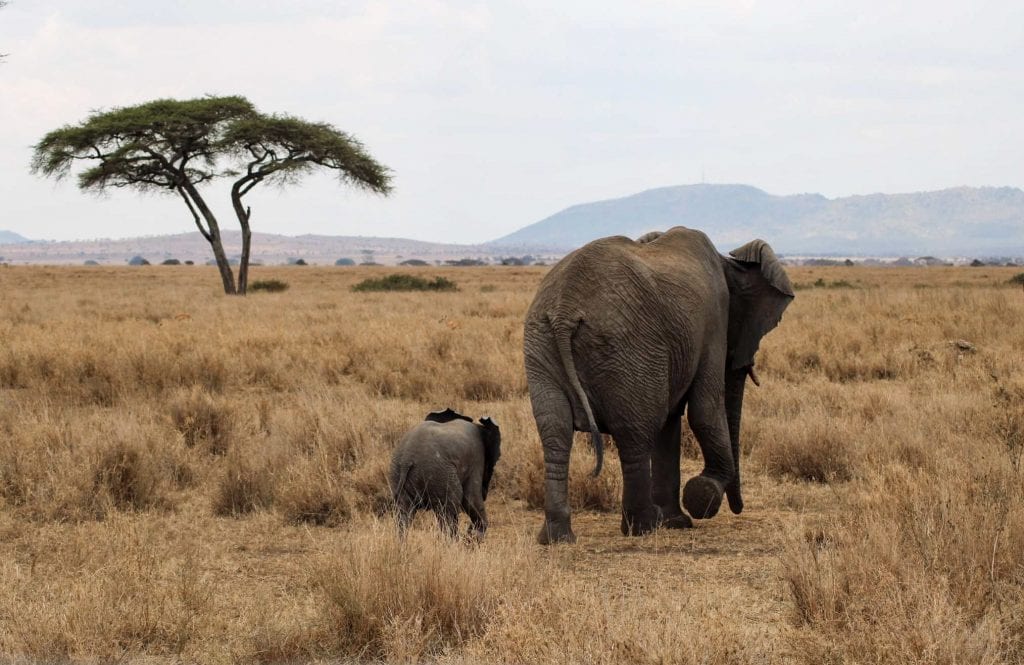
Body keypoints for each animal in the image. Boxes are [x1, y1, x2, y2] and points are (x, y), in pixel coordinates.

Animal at [390, 408, 501, 538]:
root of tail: (407, 460)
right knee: (448, 512)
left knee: (403, 514)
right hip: (440, 476)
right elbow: (471, 499)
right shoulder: (476, 459)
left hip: (396, 474)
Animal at [524, 226, 794, 544]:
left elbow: (671, 423)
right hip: (625, 348)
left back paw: (557, 537)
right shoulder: (712, 325)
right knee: (635, 435)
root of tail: (565, 308)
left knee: (556, 434)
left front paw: (677, 521)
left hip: (540, 343)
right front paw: (701, 496)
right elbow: (704, 411)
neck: (727, 262)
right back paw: (643, 526)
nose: (738, 507)